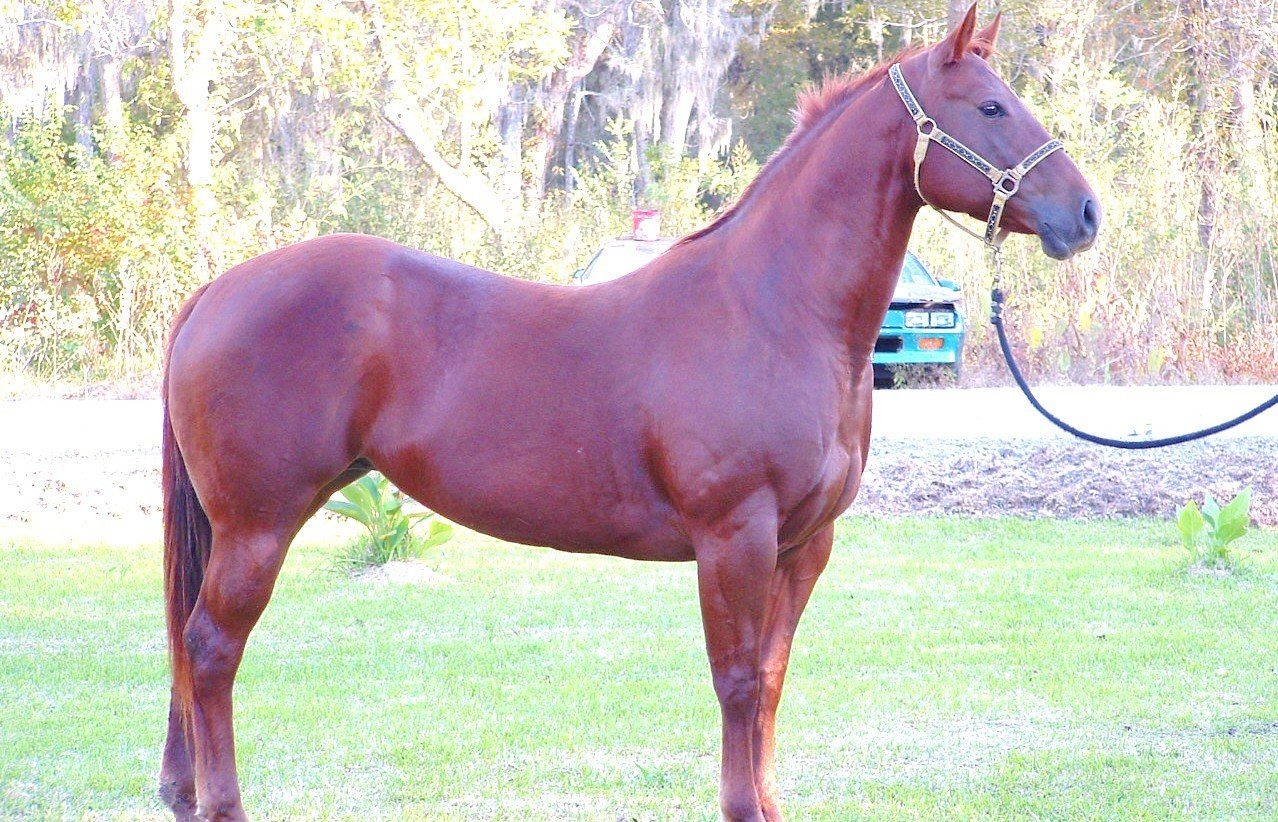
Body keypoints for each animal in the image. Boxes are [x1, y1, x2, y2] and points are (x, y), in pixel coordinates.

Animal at [158, 7, 1099, 820]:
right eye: (991, 105)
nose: (1084, 213)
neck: (773, 309)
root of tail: (218, 289)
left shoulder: (804, 544)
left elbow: (772, 679)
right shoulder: (734, 535)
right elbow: (736, 681)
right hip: (257, 525)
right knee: (210, 648)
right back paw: (222, 804)